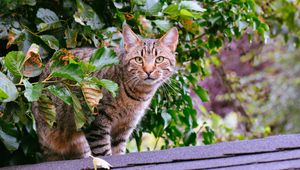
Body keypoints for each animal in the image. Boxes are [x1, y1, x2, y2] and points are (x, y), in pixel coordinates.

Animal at [32, 24, 178, 161]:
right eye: (138, 59)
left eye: (159, 59)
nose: (148, 70)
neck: (137, 95)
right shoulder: (96, 122)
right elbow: (104, 153)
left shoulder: (125, 127)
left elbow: (118, 151)